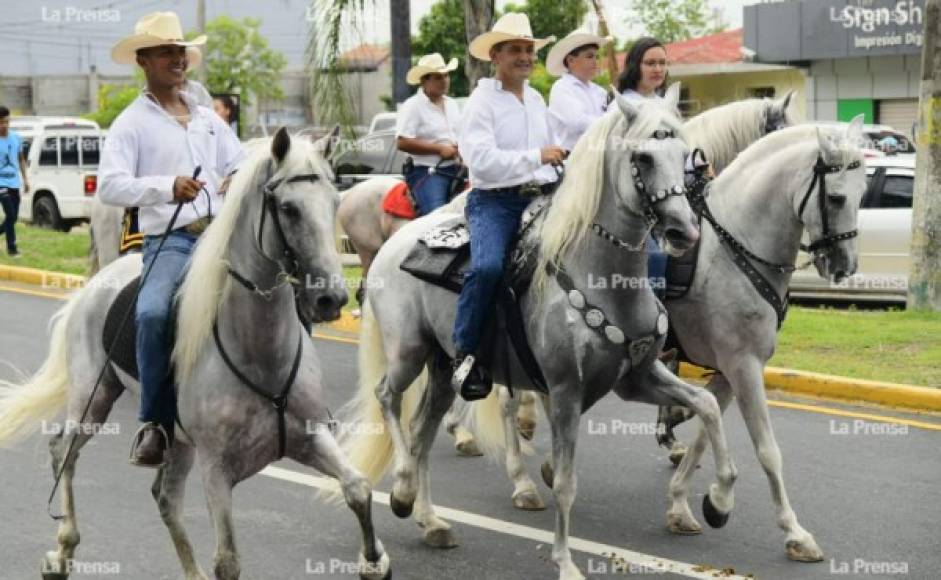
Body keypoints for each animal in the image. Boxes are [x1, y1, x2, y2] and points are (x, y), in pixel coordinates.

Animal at [0, 130, 390, 580]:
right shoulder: (216, 469)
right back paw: (63, 549)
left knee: (165, 496)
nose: (331, 299)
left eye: (334, 203)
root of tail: (95, 284)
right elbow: (228, 561)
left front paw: (374, 561)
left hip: (176, 441)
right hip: (92, 401)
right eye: (288, 209)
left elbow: (358, 488)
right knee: (63, 452)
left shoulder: (310, 437)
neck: (261, 355)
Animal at [334, 86, 740, 580]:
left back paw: (430, 521)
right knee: (388, 398)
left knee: (422, 431)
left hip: (444, 368)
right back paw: (404, 487)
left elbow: (707, 405)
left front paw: (719, 500)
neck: (601, 275)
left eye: (685, 155)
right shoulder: (565, 391)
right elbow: (565, 482)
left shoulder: (638, 378)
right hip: (407, 352)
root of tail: (395, 242)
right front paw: (565, 562)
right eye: (642, 158)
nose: (684, 231)